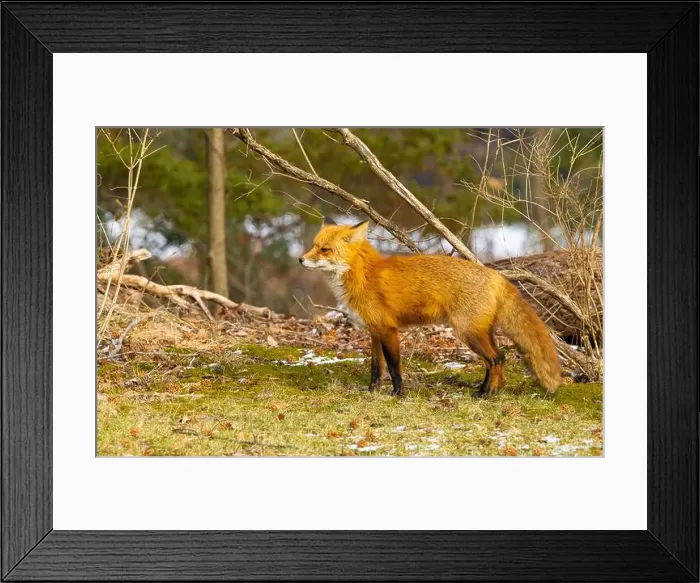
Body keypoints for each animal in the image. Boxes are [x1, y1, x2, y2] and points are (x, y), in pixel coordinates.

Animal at [299, 218, 561, 398]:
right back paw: (487, 391)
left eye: (325, 249)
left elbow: (394, 366)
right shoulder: (374, 331)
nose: (300, 260)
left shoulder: (388, 329)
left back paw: (486, 394)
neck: (363, 275)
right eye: (313, 245)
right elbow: (376, 367)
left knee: (496, 359)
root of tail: (496, 275)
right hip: (481, 332)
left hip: (467, 332)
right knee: (499, 358)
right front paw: (372, 391)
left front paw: (397, 394)